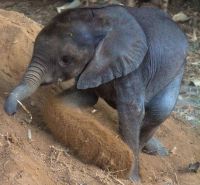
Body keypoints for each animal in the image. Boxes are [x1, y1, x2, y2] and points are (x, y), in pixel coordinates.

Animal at [4, 5, 188, 181]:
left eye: (66, 60)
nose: (11, 112)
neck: (102, 20)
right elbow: (87, 96)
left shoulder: (135, 69)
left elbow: (132, 112)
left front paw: (131, 177)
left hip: (177, 72)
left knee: (159, 111)